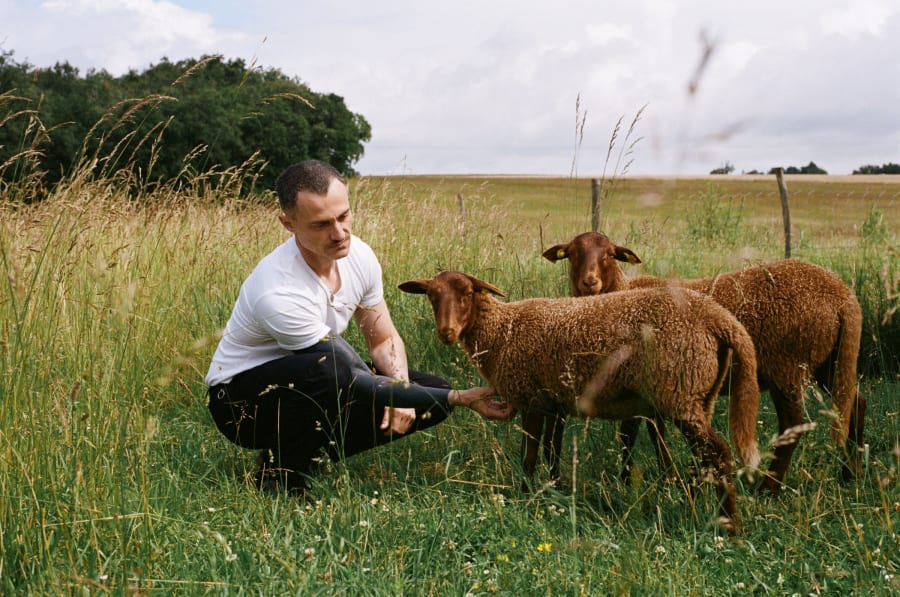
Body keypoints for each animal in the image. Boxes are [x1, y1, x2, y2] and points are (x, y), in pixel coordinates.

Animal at [400, 272, 760, 532]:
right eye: (432, 296)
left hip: (682, 390)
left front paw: (524, 494)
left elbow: (530, 454)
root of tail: (721, 320)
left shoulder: (531, 399)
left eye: (466, 294)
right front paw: (554, 490)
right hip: (701, 395)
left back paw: (729, 527)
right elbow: (552, 451)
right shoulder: (554, 402)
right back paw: (697, 507)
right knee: (704, 457)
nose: (446, 332)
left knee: (719, 454)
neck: (503, 330)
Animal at [540, 230, 864, 492]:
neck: (621, 291)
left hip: (789, 365)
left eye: (609, 254)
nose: (589, 282)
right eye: (572, 253)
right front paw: (667, 477)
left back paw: (768, 489)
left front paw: (631, 480)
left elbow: (631, 433)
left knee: (792, 424)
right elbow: (653, 431)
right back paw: (849, 474)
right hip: (830, 359)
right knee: (854, 402)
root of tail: (843, 297)